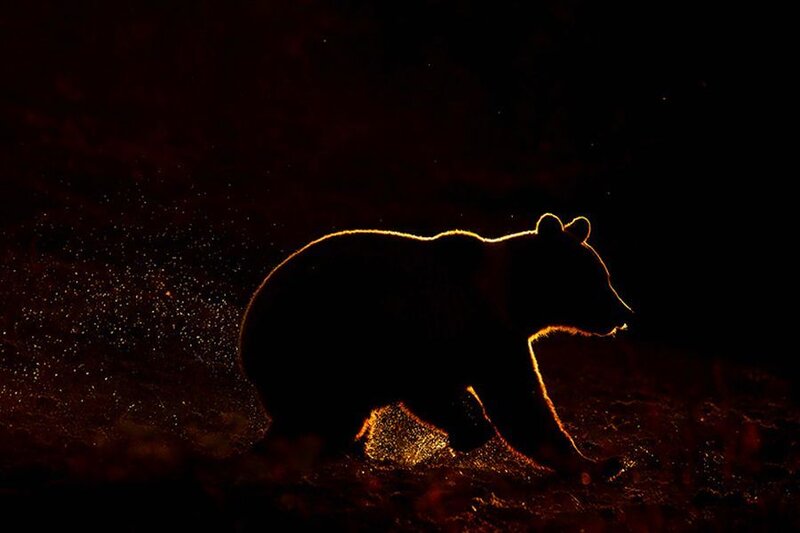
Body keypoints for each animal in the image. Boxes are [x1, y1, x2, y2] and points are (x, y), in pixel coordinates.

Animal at [238, 213, 632, 475]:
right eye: (599, 279)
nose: (623, 311)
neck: (513, 299)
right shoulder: (449, 329)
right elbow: (508, 403)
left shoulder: (500, 339)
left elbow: (522, 403)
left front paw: (601, 463)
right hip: (315, 345)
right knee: (326, 417)